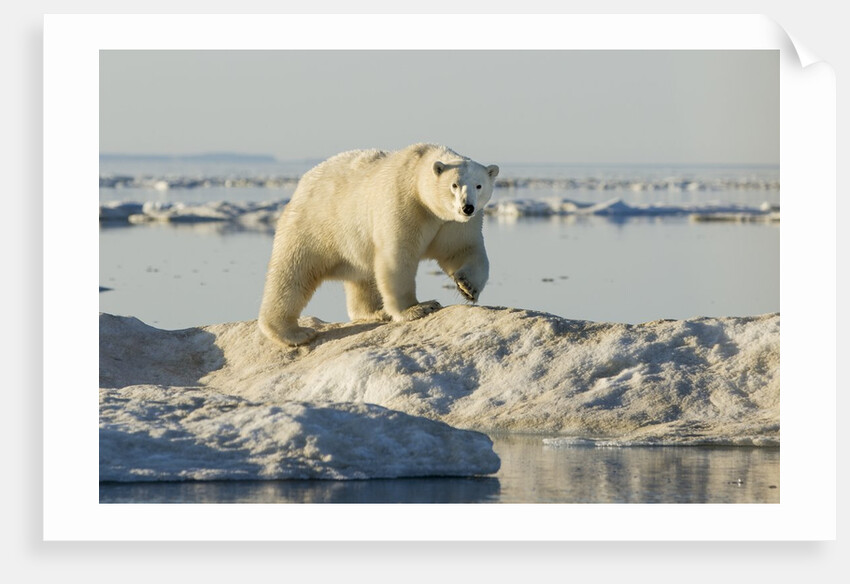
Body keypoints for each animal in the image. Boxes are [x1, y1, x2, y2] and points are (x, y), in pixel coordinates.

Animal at [258, 143, 499, 347]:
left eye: (479, 185)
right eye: (454, 185)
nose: (467, 207)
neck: (416, 174)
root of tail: (303, 183)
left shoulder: (451, 223)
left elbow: (463, 249)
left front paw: (467, 286)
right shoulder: (404, 203)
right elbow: (397, 258)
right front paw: (419, 308)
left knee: (363, 277)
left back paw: (376, 312)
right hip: (315, 224)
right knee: (293, 273)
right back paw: (294, 333)